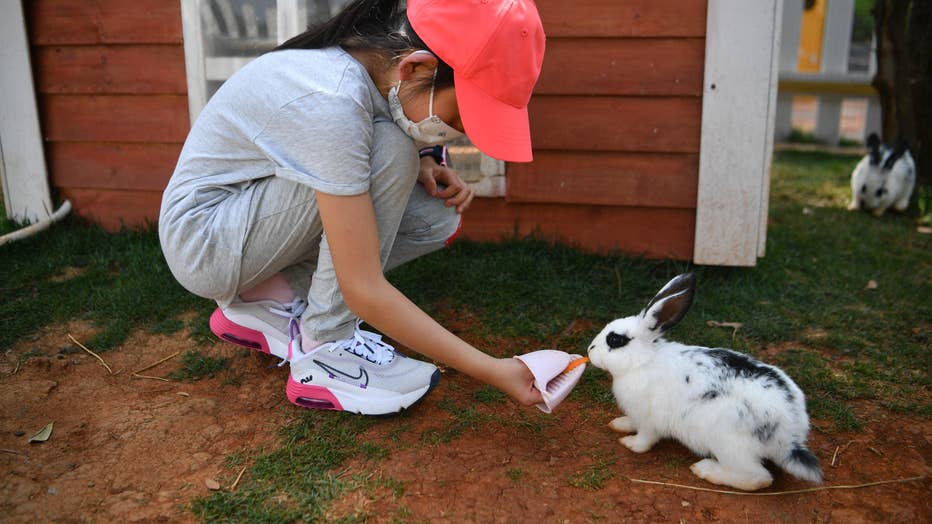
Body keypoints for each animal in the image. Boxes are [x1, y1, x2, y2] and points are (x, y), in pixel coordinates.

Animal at [588, 274, 824, 492]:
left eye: (615, 340)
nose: (590, 350)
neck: (643, 361)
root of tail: (790, 435)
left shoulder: (649, 419)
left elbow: (645, 439)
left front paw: (629, 443)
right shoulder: (636, 414)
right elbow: (631, 422)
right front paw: (619, 424)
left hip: (729, 444)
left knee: (758, 478)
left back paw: (706, 470)